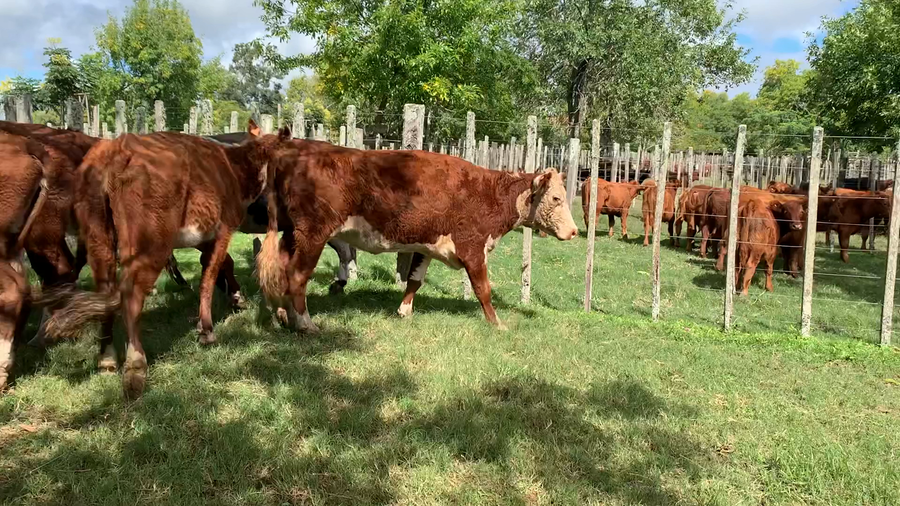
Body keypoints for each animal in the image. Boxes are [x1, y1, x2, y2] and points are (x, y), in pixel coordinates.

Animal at [40, 122, 290, 398]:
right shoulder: (224, 228)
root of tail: (117, 147)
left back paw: (106, 357)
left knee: (105, 289)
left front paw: (235, 298)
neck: (235, 166)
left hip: (99, 238)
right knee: (130, 293)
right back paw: (135, 366)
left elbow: (221, 264)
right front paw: (207, 329)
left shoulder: (202, 235)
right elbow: (209, 275)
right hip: (150, 243)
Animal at [255, 142, 578, 333]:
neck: (489, 193)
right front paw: (496, 323)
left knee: (279, 272)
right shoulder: (472, 247)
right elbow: (483, 289)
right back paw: (305, 323)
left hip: (292, 235)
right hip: (312, 235)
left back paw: (282, 314)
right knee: (297, 277)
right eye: (557, 198)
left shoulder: (427, 245)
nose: (575, 231)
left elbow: (414, 279)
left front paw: (404, 311)